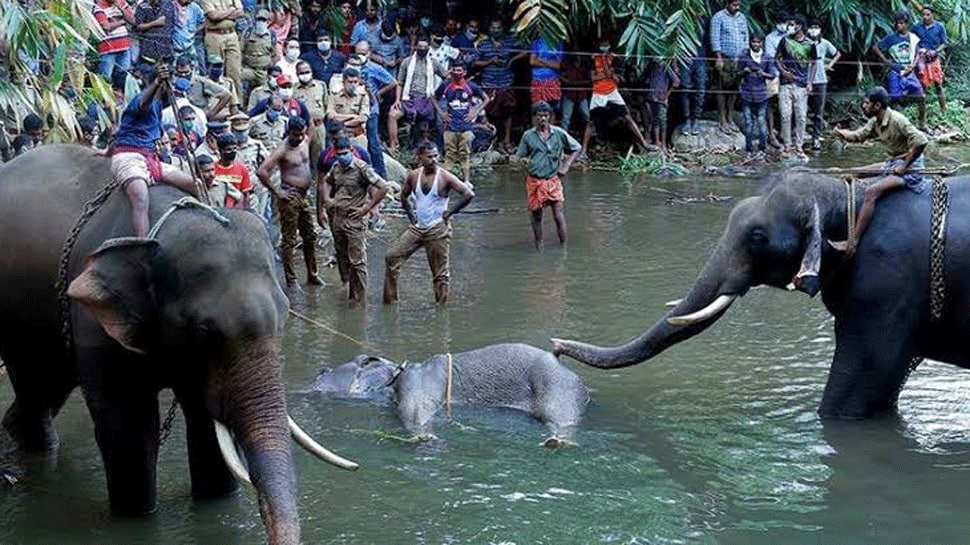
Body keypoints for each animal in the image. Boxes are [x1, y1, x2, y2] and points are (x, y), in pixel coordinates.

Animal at [0, 145, 357, 545]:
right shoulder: (94, 322)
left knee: (47, 386)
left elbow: (206, 425)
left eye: (283, 318)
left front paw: (215, 503)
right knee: (34, 385)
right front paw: (136, 517)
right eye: (203, 331)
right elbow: (130, 428)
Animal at [315, 343, 590, 446]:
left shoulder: (416, 386)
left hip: (556, 388)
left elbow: (416, 411)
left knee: (560, 418)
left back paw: (557, 441)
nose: (319, 372)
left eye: (324, 372)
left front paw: (424, 437)